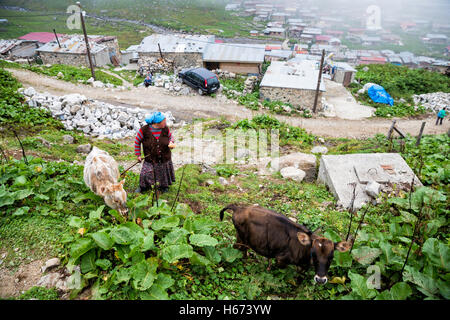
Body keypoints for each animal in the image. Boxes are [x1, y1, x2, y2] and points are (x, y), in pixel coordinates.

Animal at [221, 204, 352, 284]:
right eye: (314, 254)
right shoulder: (280, 259)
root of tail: (238, 207)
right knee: (237, 249)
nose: (320, 280)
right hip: (241, 238)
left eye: (331, 257)